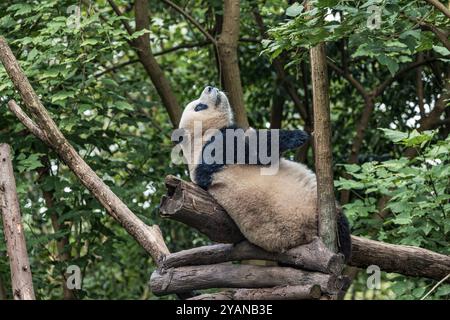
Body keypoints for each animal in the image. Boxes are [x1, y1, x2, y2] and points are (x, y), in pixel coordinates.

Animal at [177, 86, 352, 262]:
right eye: (199, 107)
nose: (210, 87)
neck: (198, 137)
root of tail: (306, 232)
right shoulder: (215, 145)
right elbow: (256, 150)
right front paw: (298, 136)